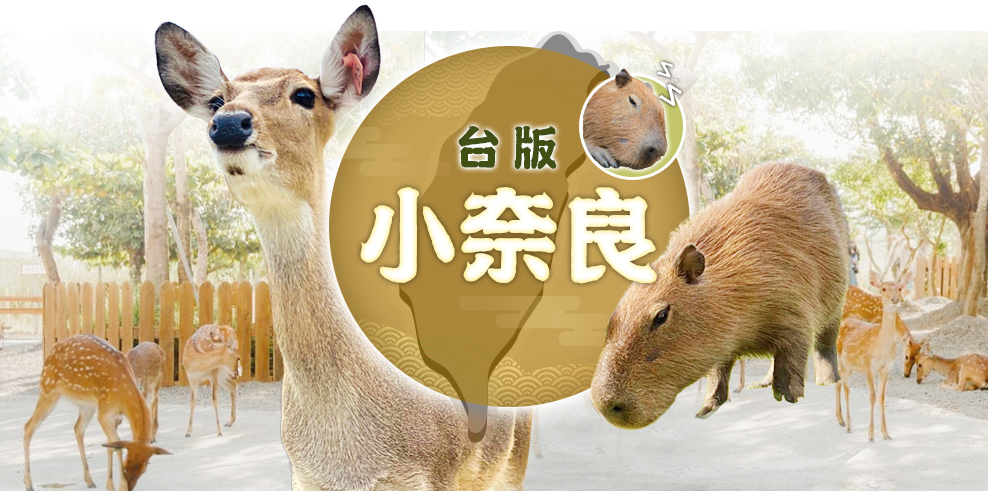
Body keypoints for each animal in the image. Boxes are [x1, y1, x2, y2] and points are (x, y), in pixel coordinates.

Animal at [23, 334, 170, 491]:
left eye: (144, 469)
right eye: (125, 466)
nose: (130, 487)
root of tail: (51, 351)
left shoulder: (115, 416)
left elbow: (111, 445)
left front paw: (111, 485)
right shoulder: (104, 412)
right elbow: (116, 445)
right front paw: (117, 486)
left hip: (87, 405)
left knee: (78, 428)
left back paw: (89, 480)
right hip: (48, 389)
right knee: (28, 426)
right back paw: (28, 483)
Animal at [155, 6, 532, 489]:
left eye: (304, 94)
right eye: (218, 99)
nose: (229, 124)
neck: (347, 458)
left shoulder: (437, 474)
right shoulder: (302, 476)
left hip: (512, 463)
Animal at [834, 270, 911, 442]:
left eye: (899, 288)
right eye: (883, 288)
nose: (895, 299)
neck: (880, 346)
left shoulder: (885, 369)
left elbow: (882, 397)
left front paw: (886, 434)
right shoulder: (868, 366)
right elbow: (872, 397)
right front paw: (870, 435)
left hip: (852, 367)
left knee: (841, 384)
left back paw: (843, 421)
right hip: (842, 361)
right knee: (845, 387)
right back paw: (848, 425)